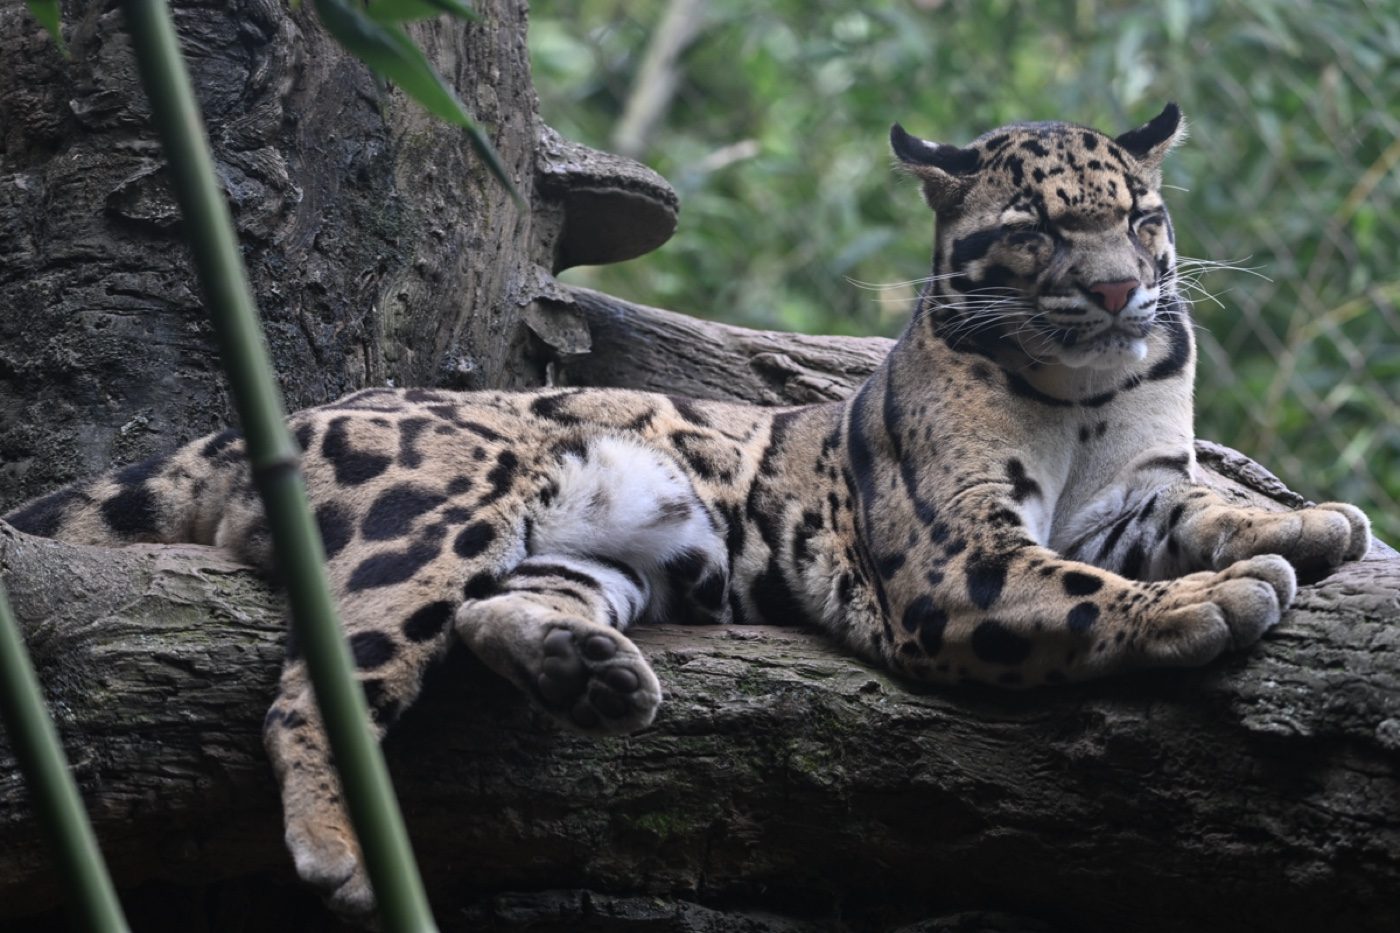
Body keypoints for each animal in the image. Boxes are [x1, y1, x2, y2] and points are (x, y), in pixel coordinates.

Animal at [2, 103, 1371, 917]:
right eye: (1036, 231)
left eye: (1141, 218)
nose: (1116, 291)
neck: (1084, 393)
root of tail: (272, 422)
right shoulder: (952, 563)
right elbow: (1089, 595)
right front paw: (1209, 602)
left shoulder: (1129, 495)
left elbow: (1194, 507)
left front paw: (1309, 525)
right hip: (434, 516)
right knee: (319, 684)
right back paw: (339, 851)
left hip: (611, 546)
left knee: (496, 615)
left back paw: (591, 673)